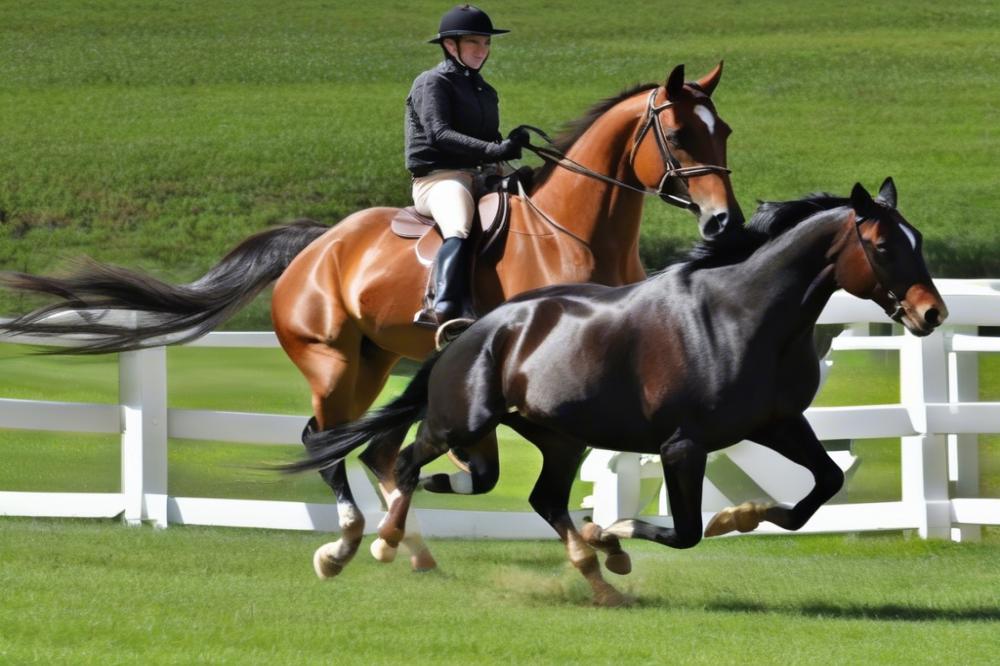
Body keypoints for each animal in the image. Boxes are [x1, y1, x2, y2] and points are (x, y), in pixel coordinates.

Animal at [0, 63, 736, 576]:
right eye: (677, 134)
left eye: (722, 130)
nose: (721, 222)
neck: (573, 232)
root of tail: (318, 244)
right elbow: (488, 464)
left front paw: (607, 537)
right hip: (330, 362)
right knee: (327, 440)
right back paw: (351, 541)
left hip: (376, 361)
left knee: (373, 447)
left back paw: (402, 543)